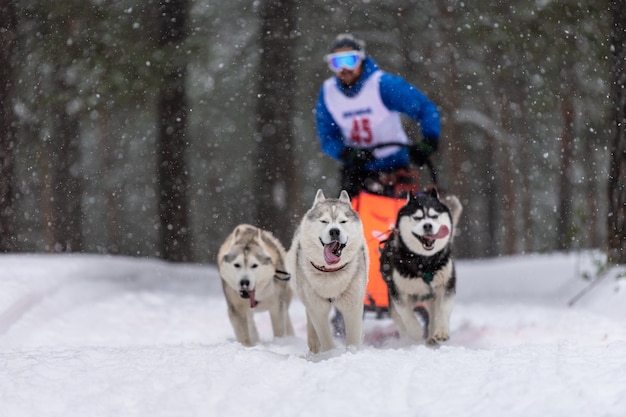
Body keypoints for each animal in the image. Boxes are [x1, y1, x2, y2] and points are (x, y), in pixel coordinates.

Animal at [286, 190, 368, 352]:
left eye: (343, 221)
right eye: (324, 221)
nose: (334, 231)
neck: (331, 272)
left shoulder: (352, 307)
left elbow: (353, 339)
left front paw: (352, 353)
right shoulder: (318, 309)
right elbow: (326, 340)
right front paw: (330, 353)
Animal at [378, 188, 460, 344]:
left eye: (434, 216)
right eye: (417, 217)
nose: (427, 225)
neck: (425, 262)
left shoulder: (446, 285)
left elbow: (443, 310)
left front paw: (441, 331)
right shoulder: (399, 293)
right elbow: (407, 315)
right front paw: (415, 332)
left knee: (433, 314)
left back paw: (432, 337)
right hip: (392, 300)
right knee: (399, 321)